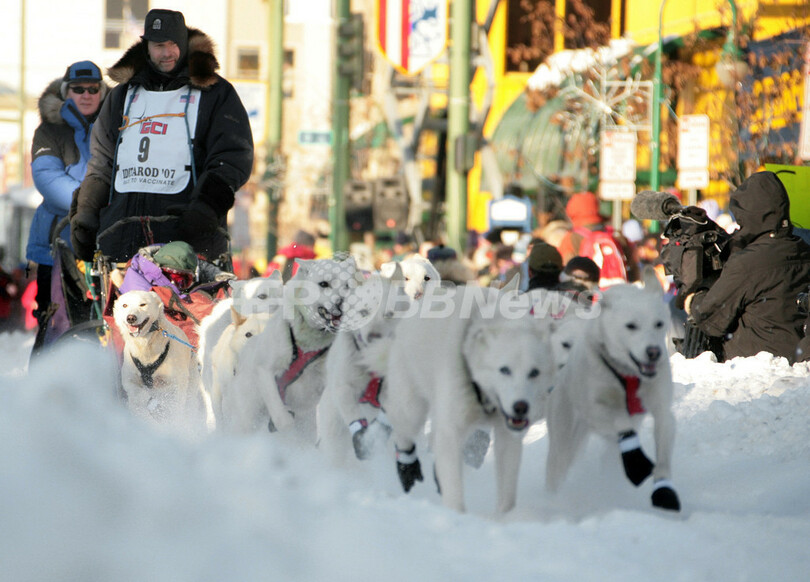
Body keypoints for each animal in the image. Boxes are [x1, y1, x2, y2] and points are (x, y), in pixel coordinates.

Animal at [113, 292, 208, 434]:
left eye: (143, 304)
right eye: (125, 305)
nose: (131, 318)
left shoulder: (174, 383)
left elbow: (175, 406)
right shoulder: (131, 382)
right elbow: (137, 402)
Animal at [224, 256, 356, 442]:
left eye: (347, 285)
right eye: (323, 284)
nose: (342, 302)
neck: (306, 344)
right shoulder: (266, 371)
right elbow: (281, 416)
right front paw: (286, 424)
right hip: (247, 415)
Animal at [380, 288, 556, 516]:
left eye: (534, 372)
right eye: (504, 369)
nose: (521, 407)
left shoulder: (507, 437)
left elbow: (507, 490)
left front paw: (505, 517)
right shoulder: (452, 431)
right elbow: (454, 489)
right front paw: (456, 515)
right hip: (411, 408)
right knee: (403, 434)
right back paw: (407, 469)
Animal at [544, 266, 680, 512]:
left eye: (658, 323)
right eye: (631, 325)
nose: (653, 352)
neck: (628, 375)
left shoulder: (662, 410)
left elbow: (663, 449)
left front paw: (664, 492)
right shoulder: (597, 410)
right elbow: (620, 421)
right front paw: (637, 463)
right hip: (564, 437)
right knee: (557, 468)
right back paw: (552, 501)